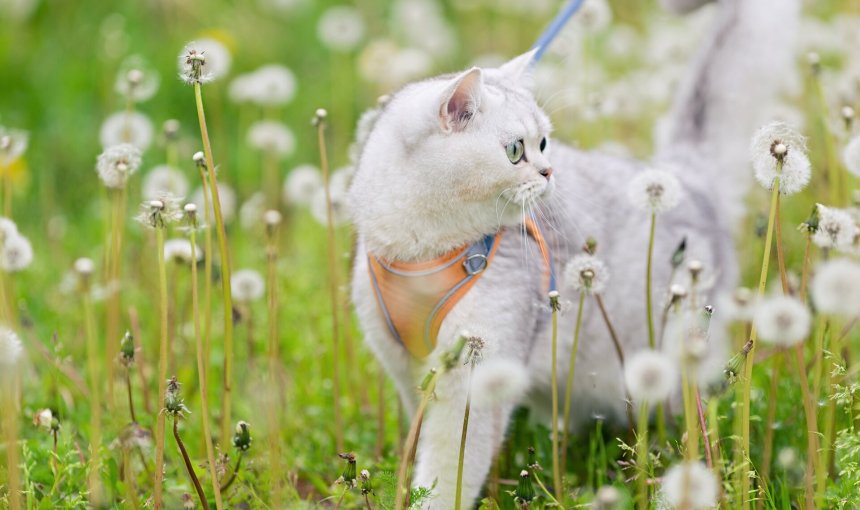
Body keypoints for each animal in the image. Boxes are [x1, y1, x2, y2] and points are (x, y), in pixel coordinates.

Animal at [348, 0, 800, 506]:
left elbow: (450, 472)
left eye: (544, 143)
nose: (549, 172)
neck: (421, 248)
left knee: (700, 430)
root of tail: (680, 175)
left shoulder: (473, 383)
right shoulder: (406, 370)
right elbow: (419, 443)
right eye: (515, 150)